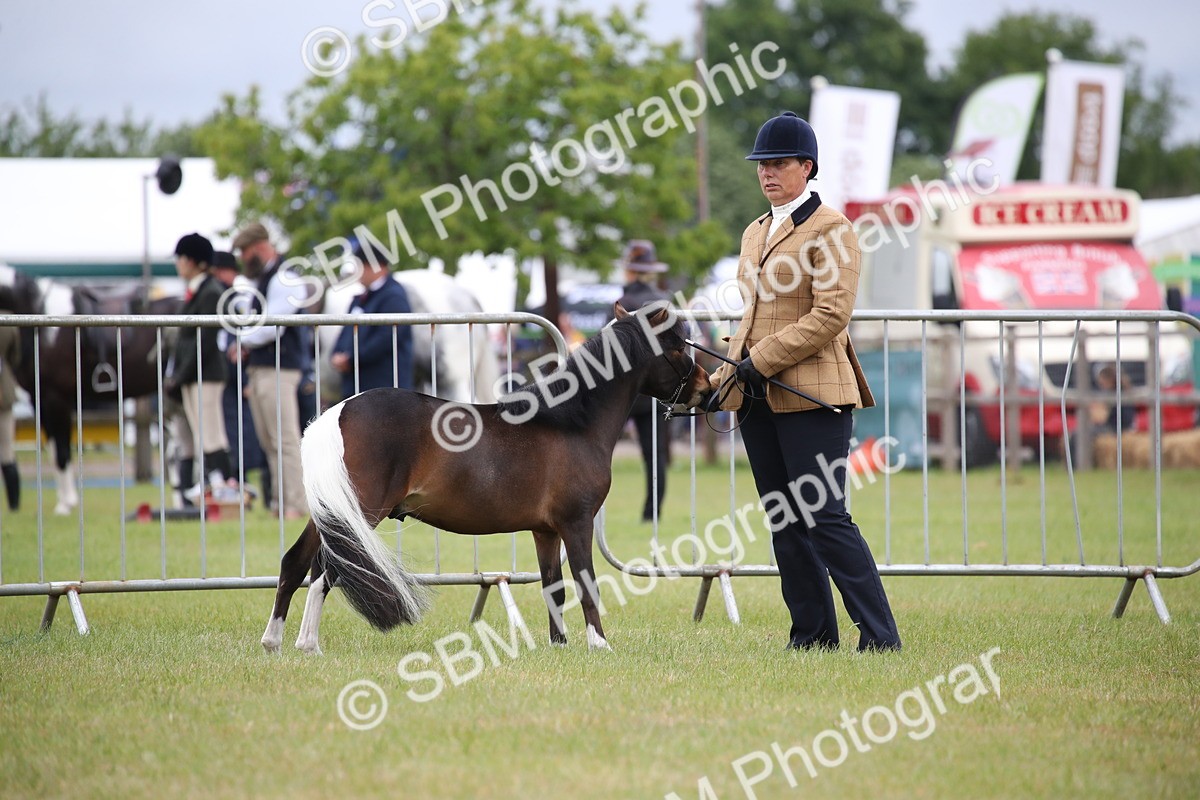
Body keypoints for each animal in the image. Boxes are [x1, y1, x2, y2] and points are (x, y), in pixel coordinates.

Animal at [0, 265, 179, 515]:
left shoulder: (54, 397)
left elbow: (61, 451)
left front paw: (66, 504)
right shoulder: (39, 398)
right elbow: (53, 448)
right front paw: (66, 500)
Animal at [260, 303, 710, 654]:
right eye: (676, 346)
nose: (706, 389)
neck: (570, 422)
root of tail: (337, 413)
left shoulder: (545, 531)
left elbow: (554, 587)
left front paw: (559, 645)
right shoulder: (576, 523)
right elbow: (586, 583)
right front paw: (599, 644)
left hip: (334, 511)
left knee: (296, 563)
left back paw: (279, 642)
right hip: (361, 512)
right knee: (326, 570)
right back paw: (304, 643)